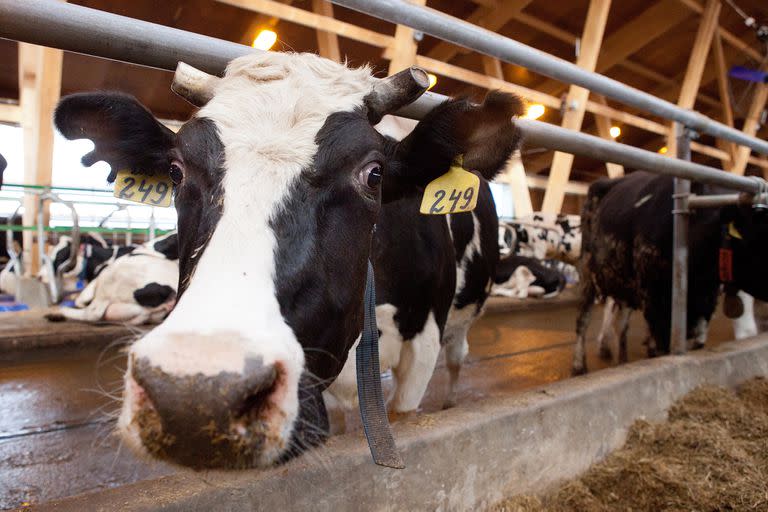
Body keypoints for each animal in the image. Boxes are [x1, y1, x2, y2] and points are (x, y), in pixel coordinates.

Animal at [572, 170, 768, 374]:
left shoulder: (706, 304)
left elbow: (698, 344)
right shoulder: (654, 304)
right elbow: (659, 350)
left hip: (624, 281)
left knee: (621, 324)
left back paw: (622, 359)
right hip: (587, 271)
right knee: (583, 319)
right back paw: (579, 365)